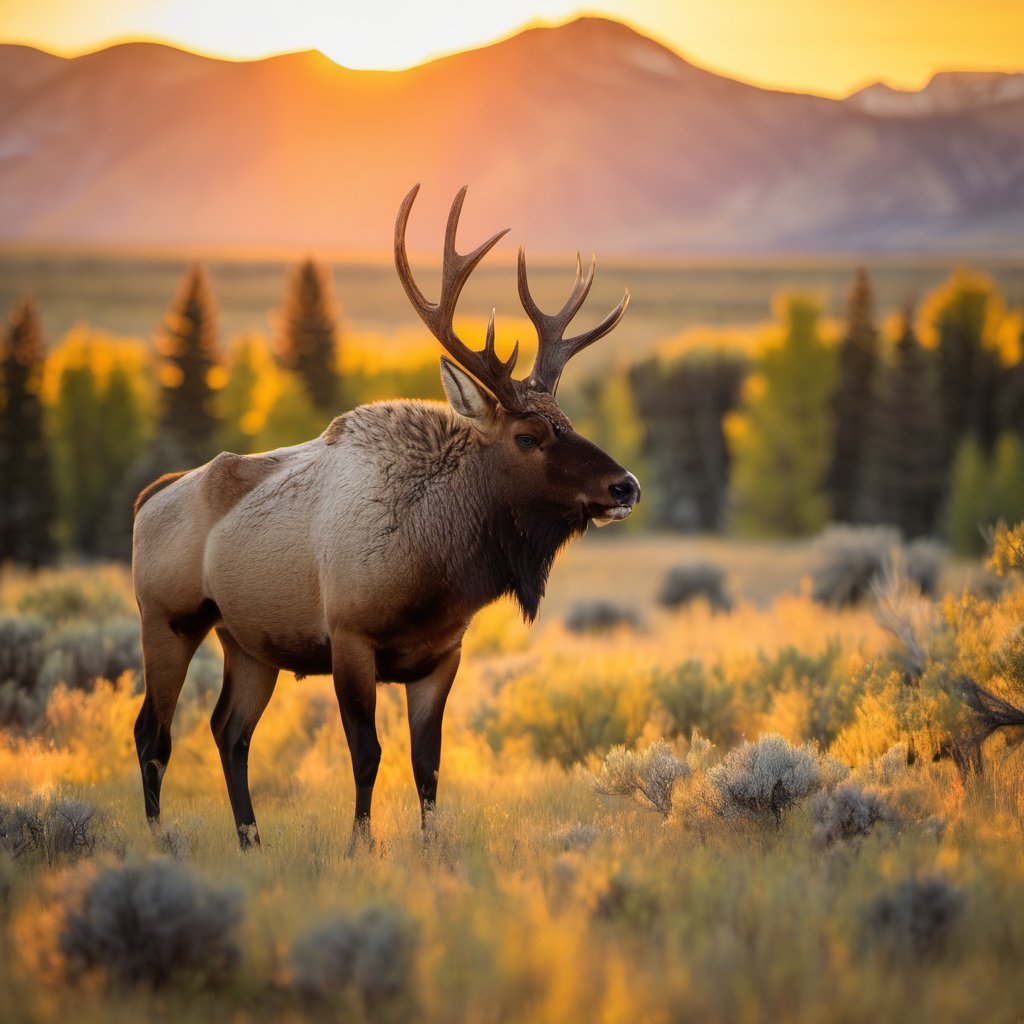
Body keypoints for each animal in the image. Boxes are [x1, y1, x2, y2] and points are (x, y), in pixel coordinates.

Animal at [131, 184, 634, 847]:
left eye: (568, 423)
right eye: (528, 436)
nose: (625, 485)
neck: (434, 568)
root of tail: (148, 498)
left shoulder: (441, 655)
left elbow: (428, 764)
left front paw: (430, 847)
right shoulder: (350, 636)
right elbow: (366, 754)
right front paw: (360, 846)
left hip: (247, 641)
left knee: (228, 731)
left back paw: (250, 839)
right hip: (169, 619)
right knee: (152, 734)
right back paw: (160, 838)